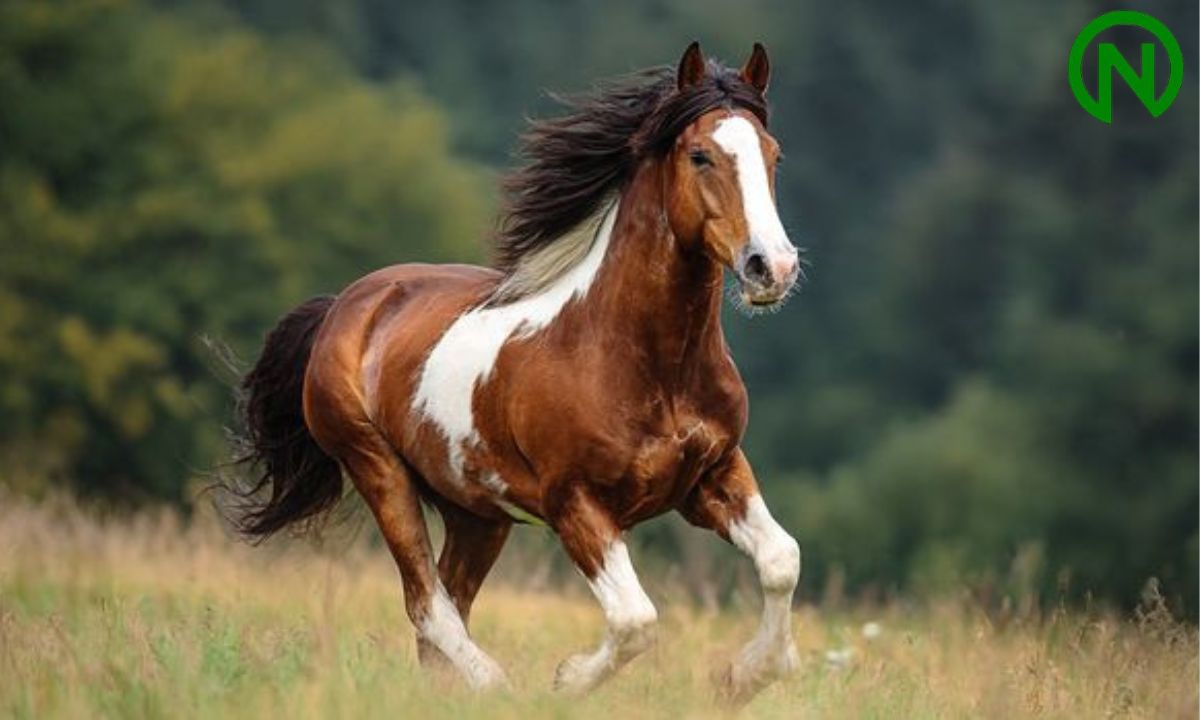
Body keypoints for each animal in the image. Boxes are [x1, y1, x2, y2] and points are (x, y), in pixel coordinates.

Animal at [228, 41, 803, 705]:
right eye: (700, 154)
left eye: (774, 155)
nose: (771, 268)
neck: (651, 366)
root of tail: (345, 304)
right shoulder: (574, 503)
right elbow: (636, 619)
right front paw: (567, 680)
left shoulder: (711, 475)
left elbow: (781, 561)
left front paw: (742, 678)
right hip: (378, 470)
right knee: (427, 603)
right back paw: (494, 685)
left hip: (476, 513)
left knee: (446, 604)